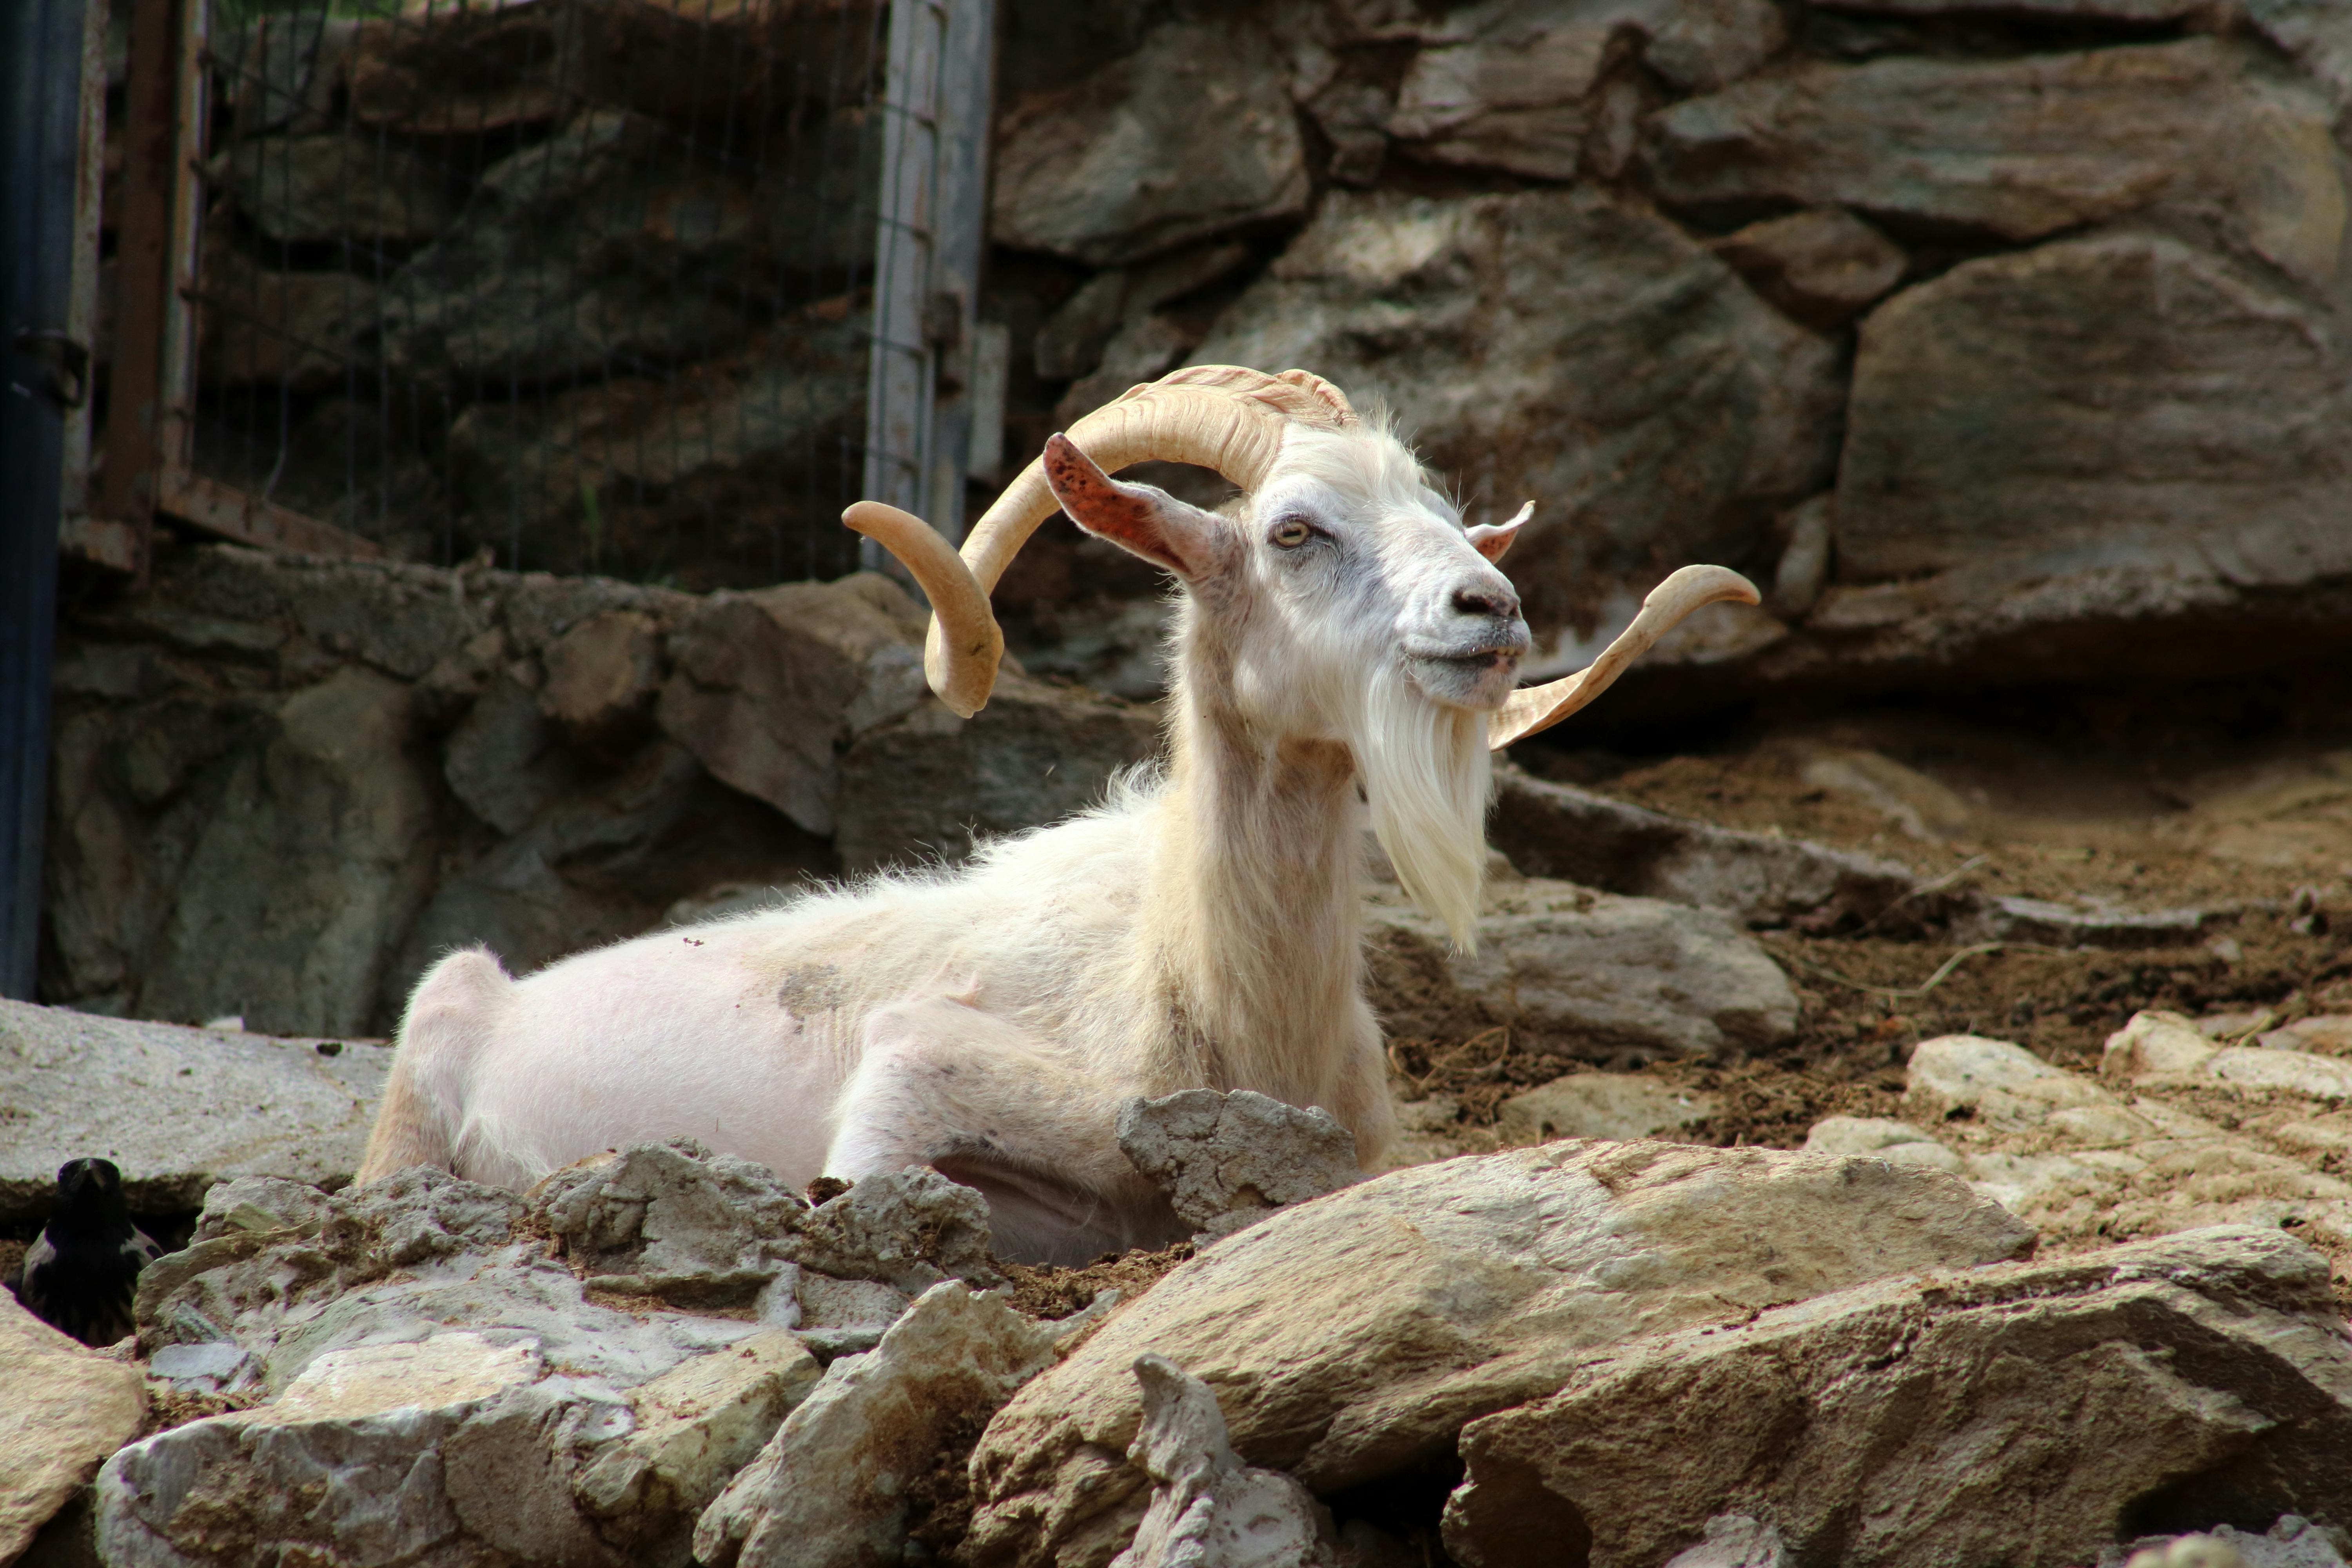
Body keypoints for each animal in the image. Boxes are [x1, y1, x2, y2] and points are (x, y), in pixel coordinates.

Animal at [358, 369, 1759, 1260]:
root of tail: (503, 988)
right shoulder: (913, 1072)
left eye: (1449, 522)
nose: (1490, 611)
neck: (1207, 1003)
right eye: (1294, 530)